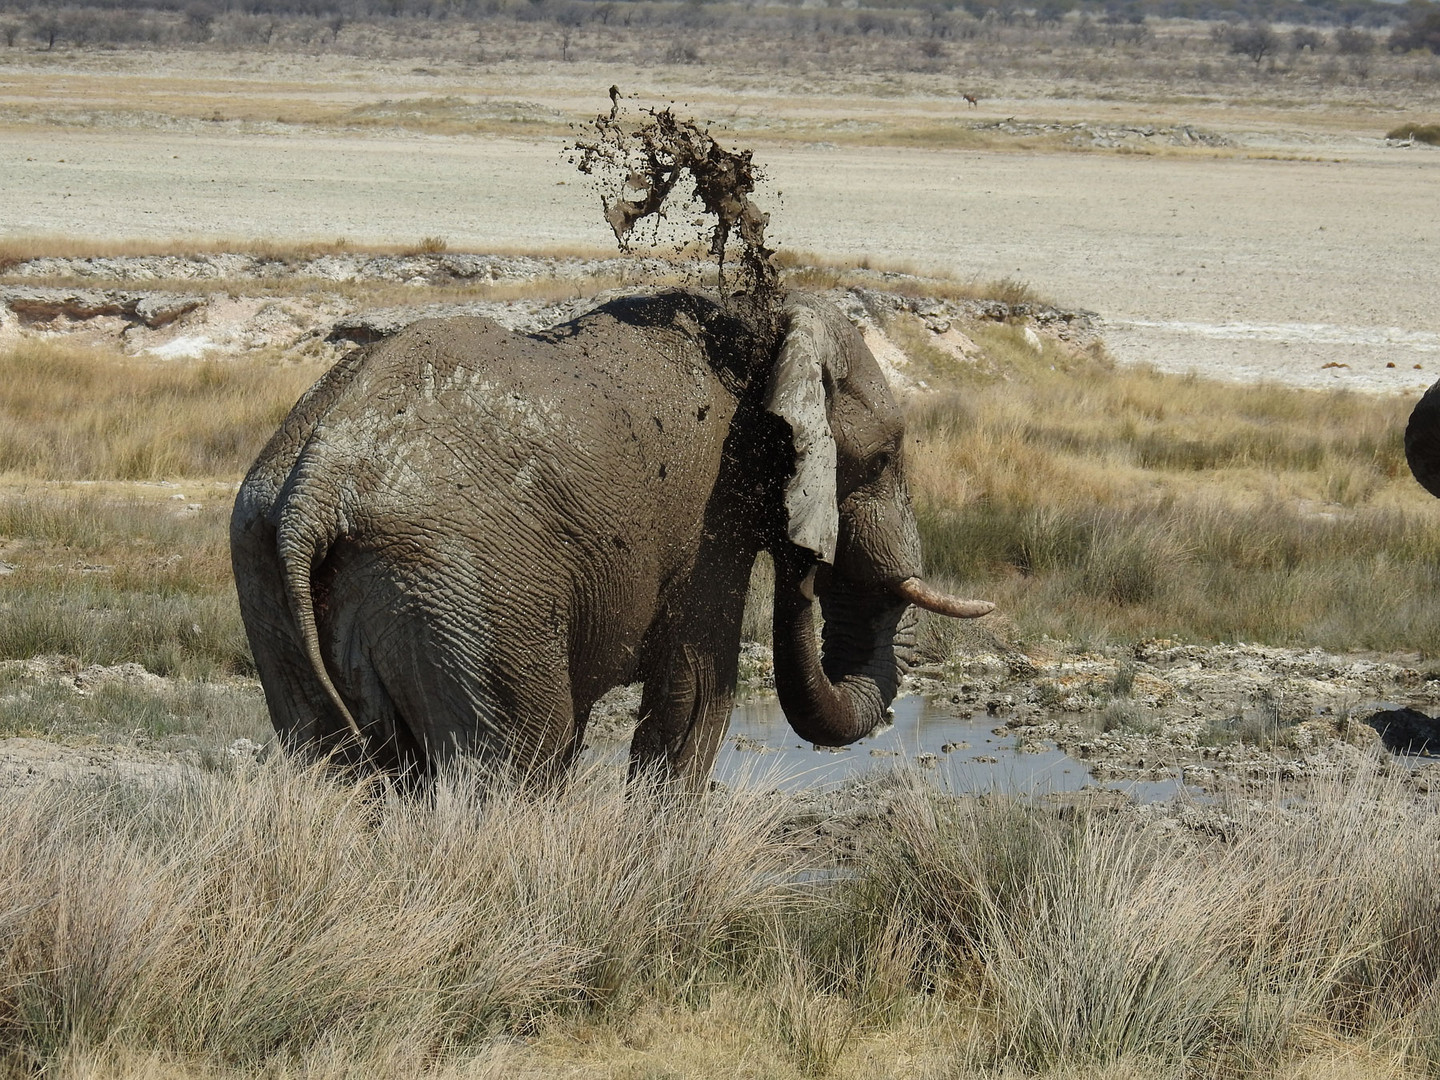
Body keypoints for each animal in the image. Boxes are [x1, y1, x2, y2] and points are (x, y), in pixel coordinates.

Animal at [230, 289, 990, 789]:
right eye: (886, 458)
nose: (804, 563)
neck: (761, 333)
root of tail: (317, 484)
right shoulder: (709, 519)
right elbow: (695, 697)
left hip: (266, 571)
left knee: (334, 768)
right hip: (458, 588)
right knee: (513, 764)